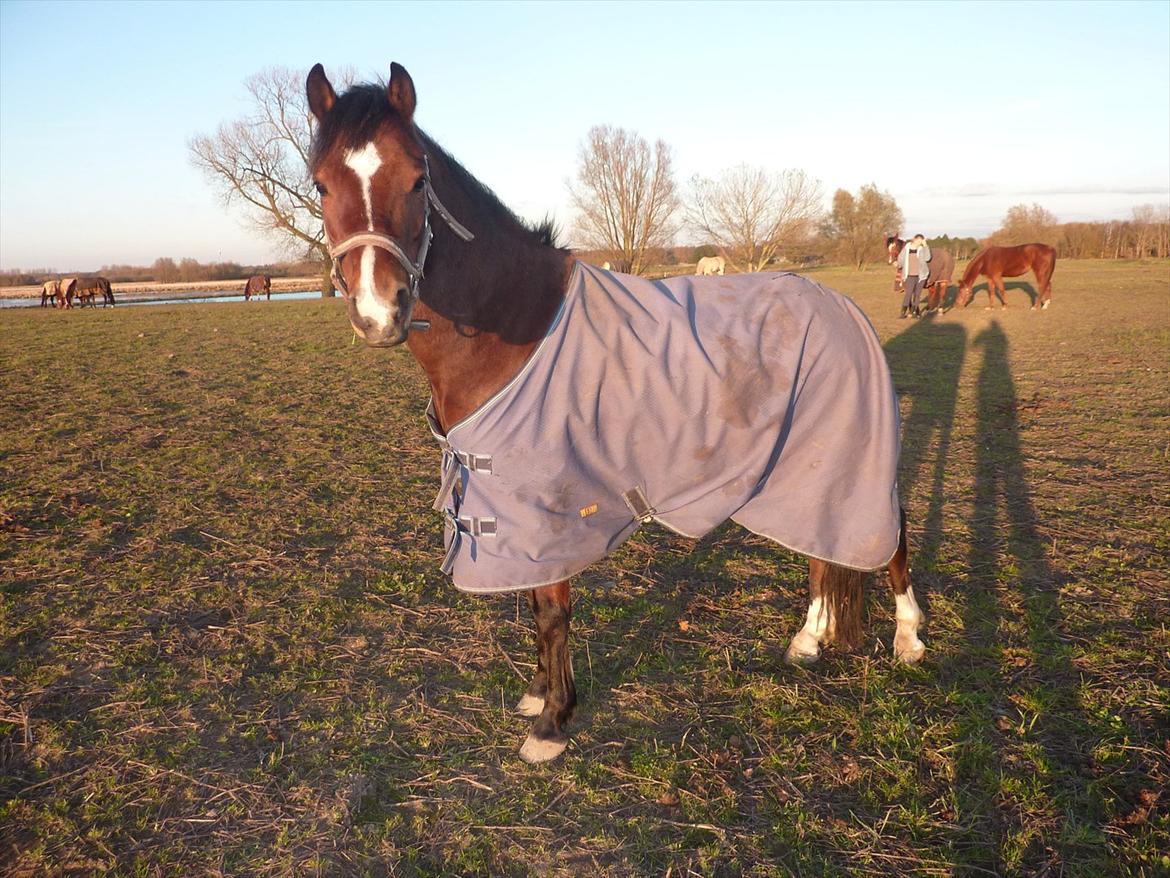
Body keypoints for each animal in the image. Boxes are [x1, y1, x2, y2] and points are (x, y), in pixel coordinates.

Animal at [306, 62, 926, 763]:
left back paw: (908, 640)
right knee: (821, 547)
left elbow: (552, 610)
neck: (516, 327)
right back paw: (808, 641)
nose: (379, 310)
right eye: (321, 182)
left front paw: (552, 722)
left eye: (417, 177)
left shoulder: (548, 506)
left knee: (889, 537)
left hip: (850, 456)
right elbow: (532, 602)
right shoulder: (512, 504)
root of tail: (842, 307)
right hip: (804, 468)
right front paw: (538, 695)